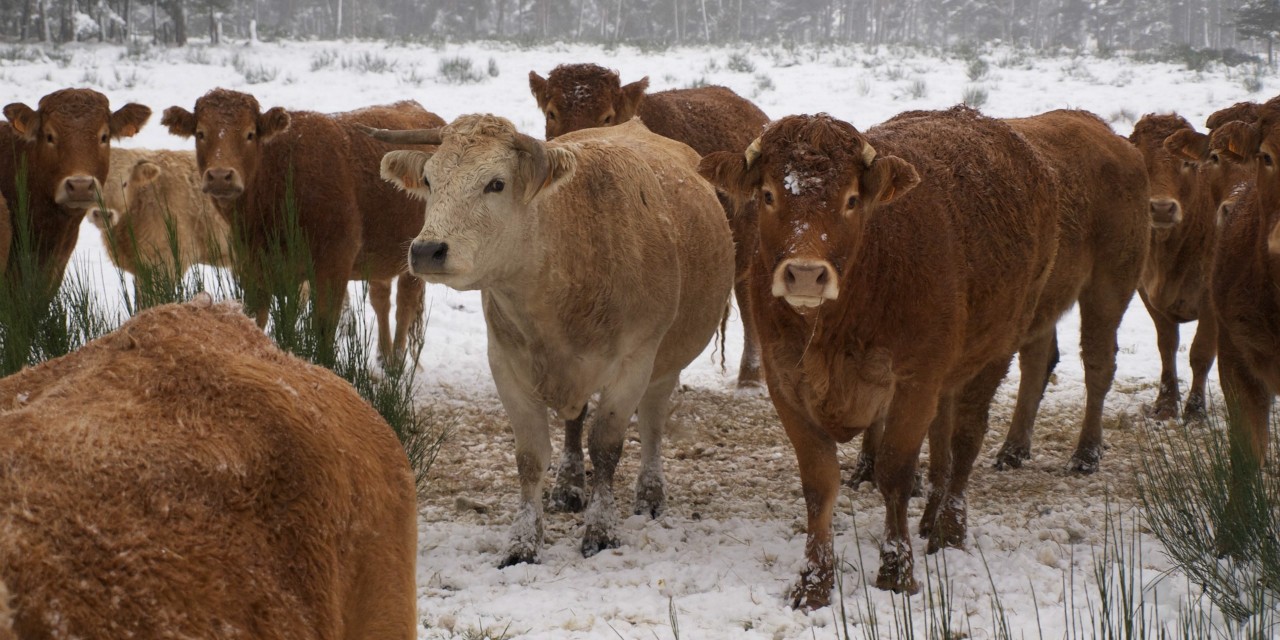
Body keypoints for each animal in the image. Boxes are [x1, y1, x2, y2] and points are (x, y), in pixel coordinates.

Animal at [161, 90, 442, 362]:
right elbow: (256, 320)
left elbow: (323, 331)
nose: (220, 176)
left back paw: (396, 362)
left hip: (415, 254)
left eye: (250, 134)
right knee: (381, 297)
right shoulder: (253, 269)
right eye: (200, 133)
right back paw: (384, 356)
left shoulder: (334, 266)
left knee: (405, 303)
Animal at [367, 115, 735, 566]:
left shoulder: (634, 363)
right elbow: (530, 457)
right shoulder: (505, 363)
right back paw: (569, 484)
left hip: (665, 364)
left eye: (496, 183)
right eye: (428, 179)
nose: (427, 250)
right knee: (576, 422)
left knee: (651, 422)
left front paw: (601, 530)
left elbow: (607, 447)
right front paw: (523, 541)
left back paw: (650, 493)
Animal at [698, 108, 1059, 607]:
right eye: (768, 194)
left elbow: (895, 474)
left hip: (996, 350)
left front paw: (896, 570)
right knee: (943, 441)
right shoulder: (784, 382)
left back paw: (949, 528)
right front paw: (814, 581)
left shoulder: (914, 380)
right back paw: (930, 517)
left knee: (965, 438)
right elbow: (819, 483)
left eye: (851, 199)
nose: (805, 275)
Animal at [987, 110, 1150, 472]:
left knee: (1098, 361)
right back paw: (1012, 450)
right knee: (1038, 362)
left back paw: (1085, 455)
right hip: (1044, 302)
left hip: (1107, 290)